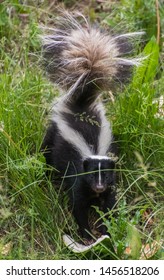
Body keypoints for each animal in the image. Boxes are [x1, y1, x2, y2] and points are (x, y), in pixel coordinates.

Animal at [41, 12, 144, 242]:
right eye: (91, 175)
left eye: (104, 176)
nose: (98, 186)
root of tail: (80, 105)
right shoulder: (78, 179)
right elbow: (78, 207)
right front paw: (87, 235)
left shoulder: (109, 186)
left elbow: (109, 206)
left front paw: (106, 230)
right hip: (53, 133)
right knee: (45, 150)